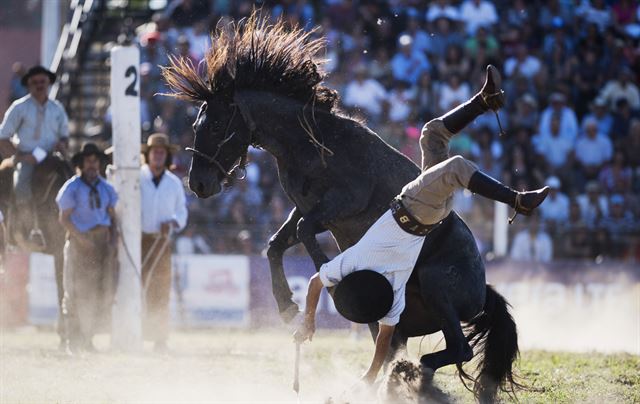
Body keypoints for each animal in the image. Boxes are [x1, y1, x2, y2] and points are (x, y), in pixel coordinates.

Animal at [164, 14, 520, 402]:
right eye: (196, 124)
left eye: (216, 124)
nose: (198, 184)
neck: (312, 142)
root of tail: (483, 292)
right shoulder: (306, 208)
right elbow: (276, 243)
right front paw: (287, 305)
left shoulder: (342, 204)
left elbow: (304, 233)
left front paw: (332, 287)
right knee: (397, 343)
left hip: (437, 285)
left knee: (456, 349)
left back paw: (409, 374)